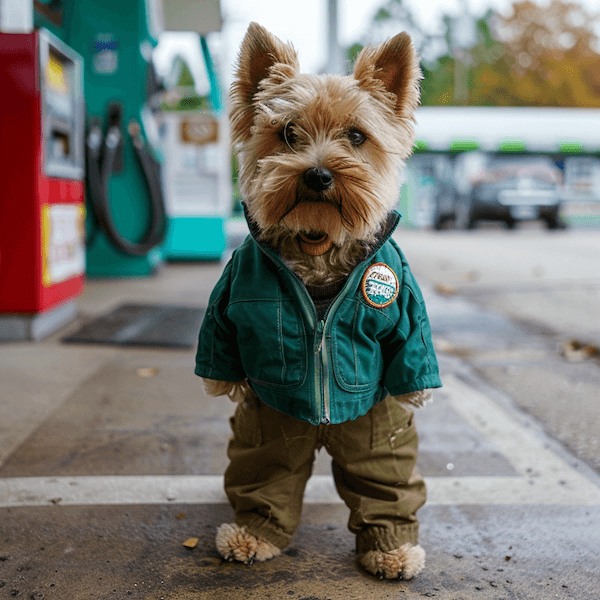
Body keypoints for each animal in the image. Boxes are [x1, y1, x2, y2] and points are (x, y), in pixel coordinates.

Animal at [196, 23, 440, 580]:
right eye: (288, 133)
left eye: (357, 136)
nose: (319, 174)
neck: (317, 242)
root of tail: (324, 427)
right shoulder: (230, 294)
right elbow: (219, 338)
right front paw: (223, 384)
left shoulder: (404, 299)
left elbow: (411, 346)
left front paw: (418, 393)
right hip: (269, 431)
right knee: (264, 476)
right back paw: (250, 535)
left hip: (374, 433)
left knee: (383, 483)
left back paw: (393, 550)